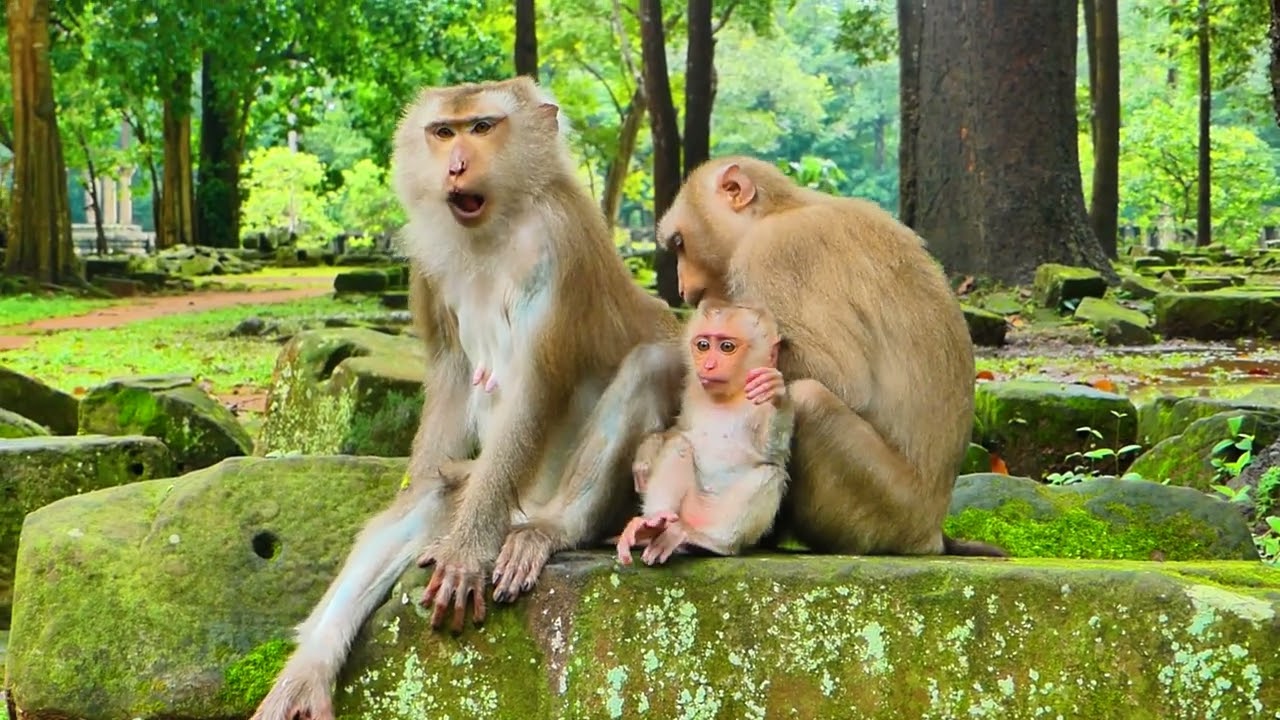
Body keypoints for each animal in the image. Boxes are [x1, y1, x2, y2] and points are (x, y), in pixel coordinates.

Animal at [249, 77, 686, 720]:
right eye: (443, 131)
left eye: (482, 127)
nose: (455, 166)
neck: (496, 226)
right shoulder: (427, 262)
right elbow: (452, 376)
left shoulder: (557, 241)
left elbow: (532, 384)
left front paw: (466, 554)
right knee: (429, 500)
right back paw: (308, 670)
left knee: (651, 364)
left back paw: (548, 530)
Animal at [616, 301, 793, 566]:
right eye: (703, 345)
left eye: (727, 347)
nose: (708, 365)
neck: (732, 395)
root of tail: (693, 523)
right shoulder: (692, 389)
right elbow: (680, 430)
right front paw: (648, 451)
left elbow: (772, 452)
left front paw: (776, 396)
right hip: (683, 511)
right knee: (680, 444)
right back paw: (652, 525)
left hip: (721, 521)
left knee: (769, 473)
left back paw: (709, 543)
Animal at [655, 155, 1007, 560]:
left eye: (680, 243)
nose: (683, 289)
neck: (780, 210)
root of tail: (932, 533)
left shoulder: (774, 253)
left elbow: (843, 379)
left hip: (886, 511)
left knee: (809, 399)